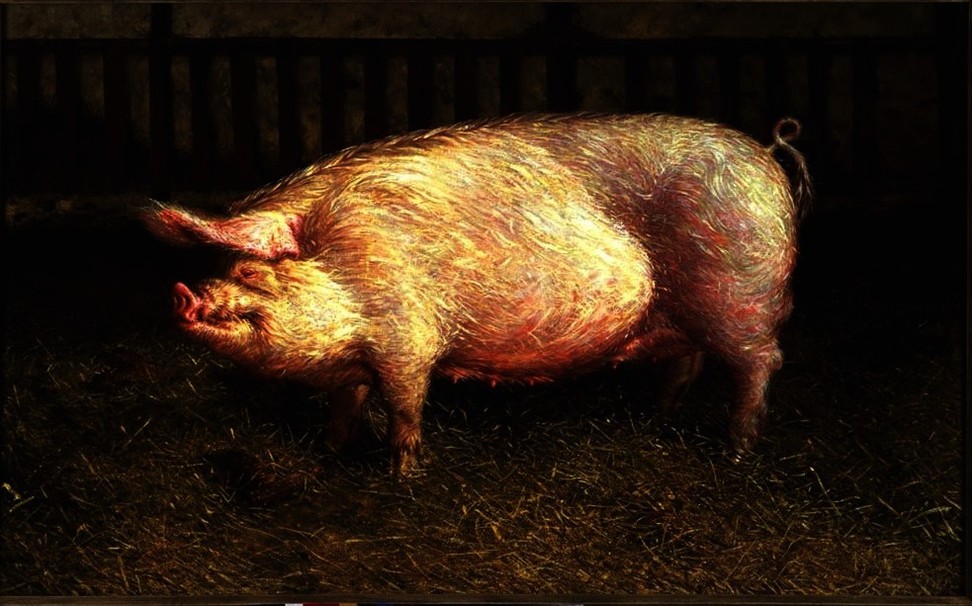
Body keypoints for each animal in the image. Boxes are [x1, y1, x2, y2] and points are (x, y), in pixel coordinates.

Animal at [145, 113, 811, 475]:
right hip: (691, 311)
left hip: (742, 296)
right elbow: (345, 404)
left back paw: (736, 452)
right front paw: (328, 456)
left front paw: (404, 477)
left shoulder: (406, 338)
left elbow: (404, 409)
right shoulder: (354, 363)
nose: (182, 294)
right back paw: (657, 420)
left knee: (764, 363)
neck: (346, 261)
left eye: (253, 275)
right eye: (225, 267)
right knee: (690, 362)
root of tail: (768, 155)